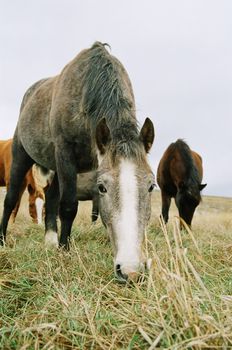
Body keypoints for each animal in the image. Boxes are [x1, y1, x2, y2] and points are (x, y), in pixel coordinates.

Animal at [0, 41, 156, 282]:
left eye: (151, 186)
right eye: (101, 187)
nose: (130, 271)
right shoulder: (65, 153)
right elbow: (68, 206)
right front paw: (65, 251)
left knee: (51, 197)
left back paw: (50, 241)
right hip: (22, 156)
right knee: (11, 198)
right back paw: (4, 240)